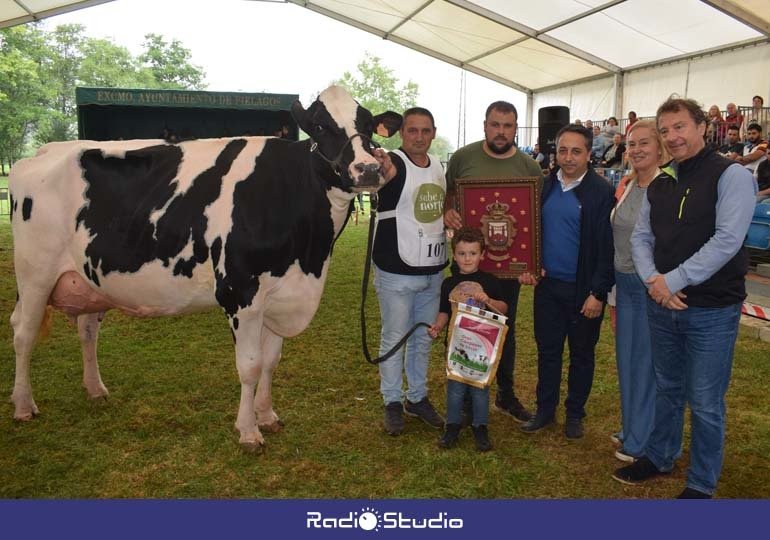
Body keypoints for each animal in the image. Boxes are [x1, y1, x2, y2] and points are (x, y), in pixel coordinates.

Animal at [9, 85, 402, 452]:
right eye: (320, 126)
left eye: (369, 125)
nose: (368, 169)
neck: (309, 254)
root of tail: (44, 152)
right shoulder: (240, 292)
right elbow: (250, 365)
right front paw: (248, 432)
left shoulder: (282, 294)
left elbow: (271, 361)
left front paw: (268, 416)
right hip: (34, 274)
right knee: (23, 333)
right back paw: (23, 405)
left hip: (90, 278)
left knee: (87, 329)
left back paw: (95, 389)